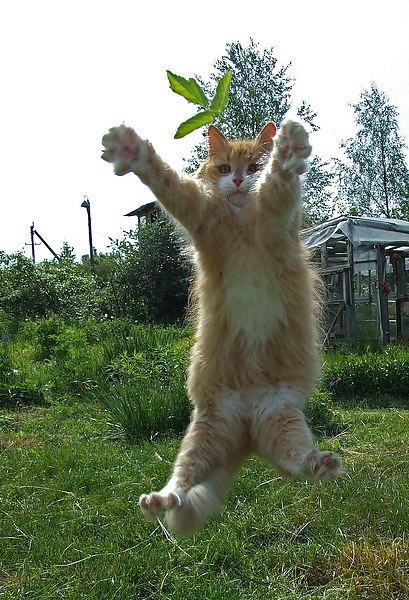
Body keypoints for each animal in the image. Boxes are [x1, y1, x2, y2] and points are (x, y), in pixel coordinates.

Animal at [101, 120, 342, 535]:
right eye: (225, 168)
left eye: (253, 166)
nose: (241, 180)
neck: (242, 222)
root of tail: (247, 433)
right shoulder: (198, 212)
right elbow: (166, 181)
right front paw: (131, 151)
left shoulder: (278, 213)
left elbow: (279, 181)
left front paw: (287, 149)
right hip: (207, 432)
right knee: (182, 482)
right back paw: (160, 499)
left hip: (281, 418)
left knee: (293, 463)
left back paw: (318, 463)